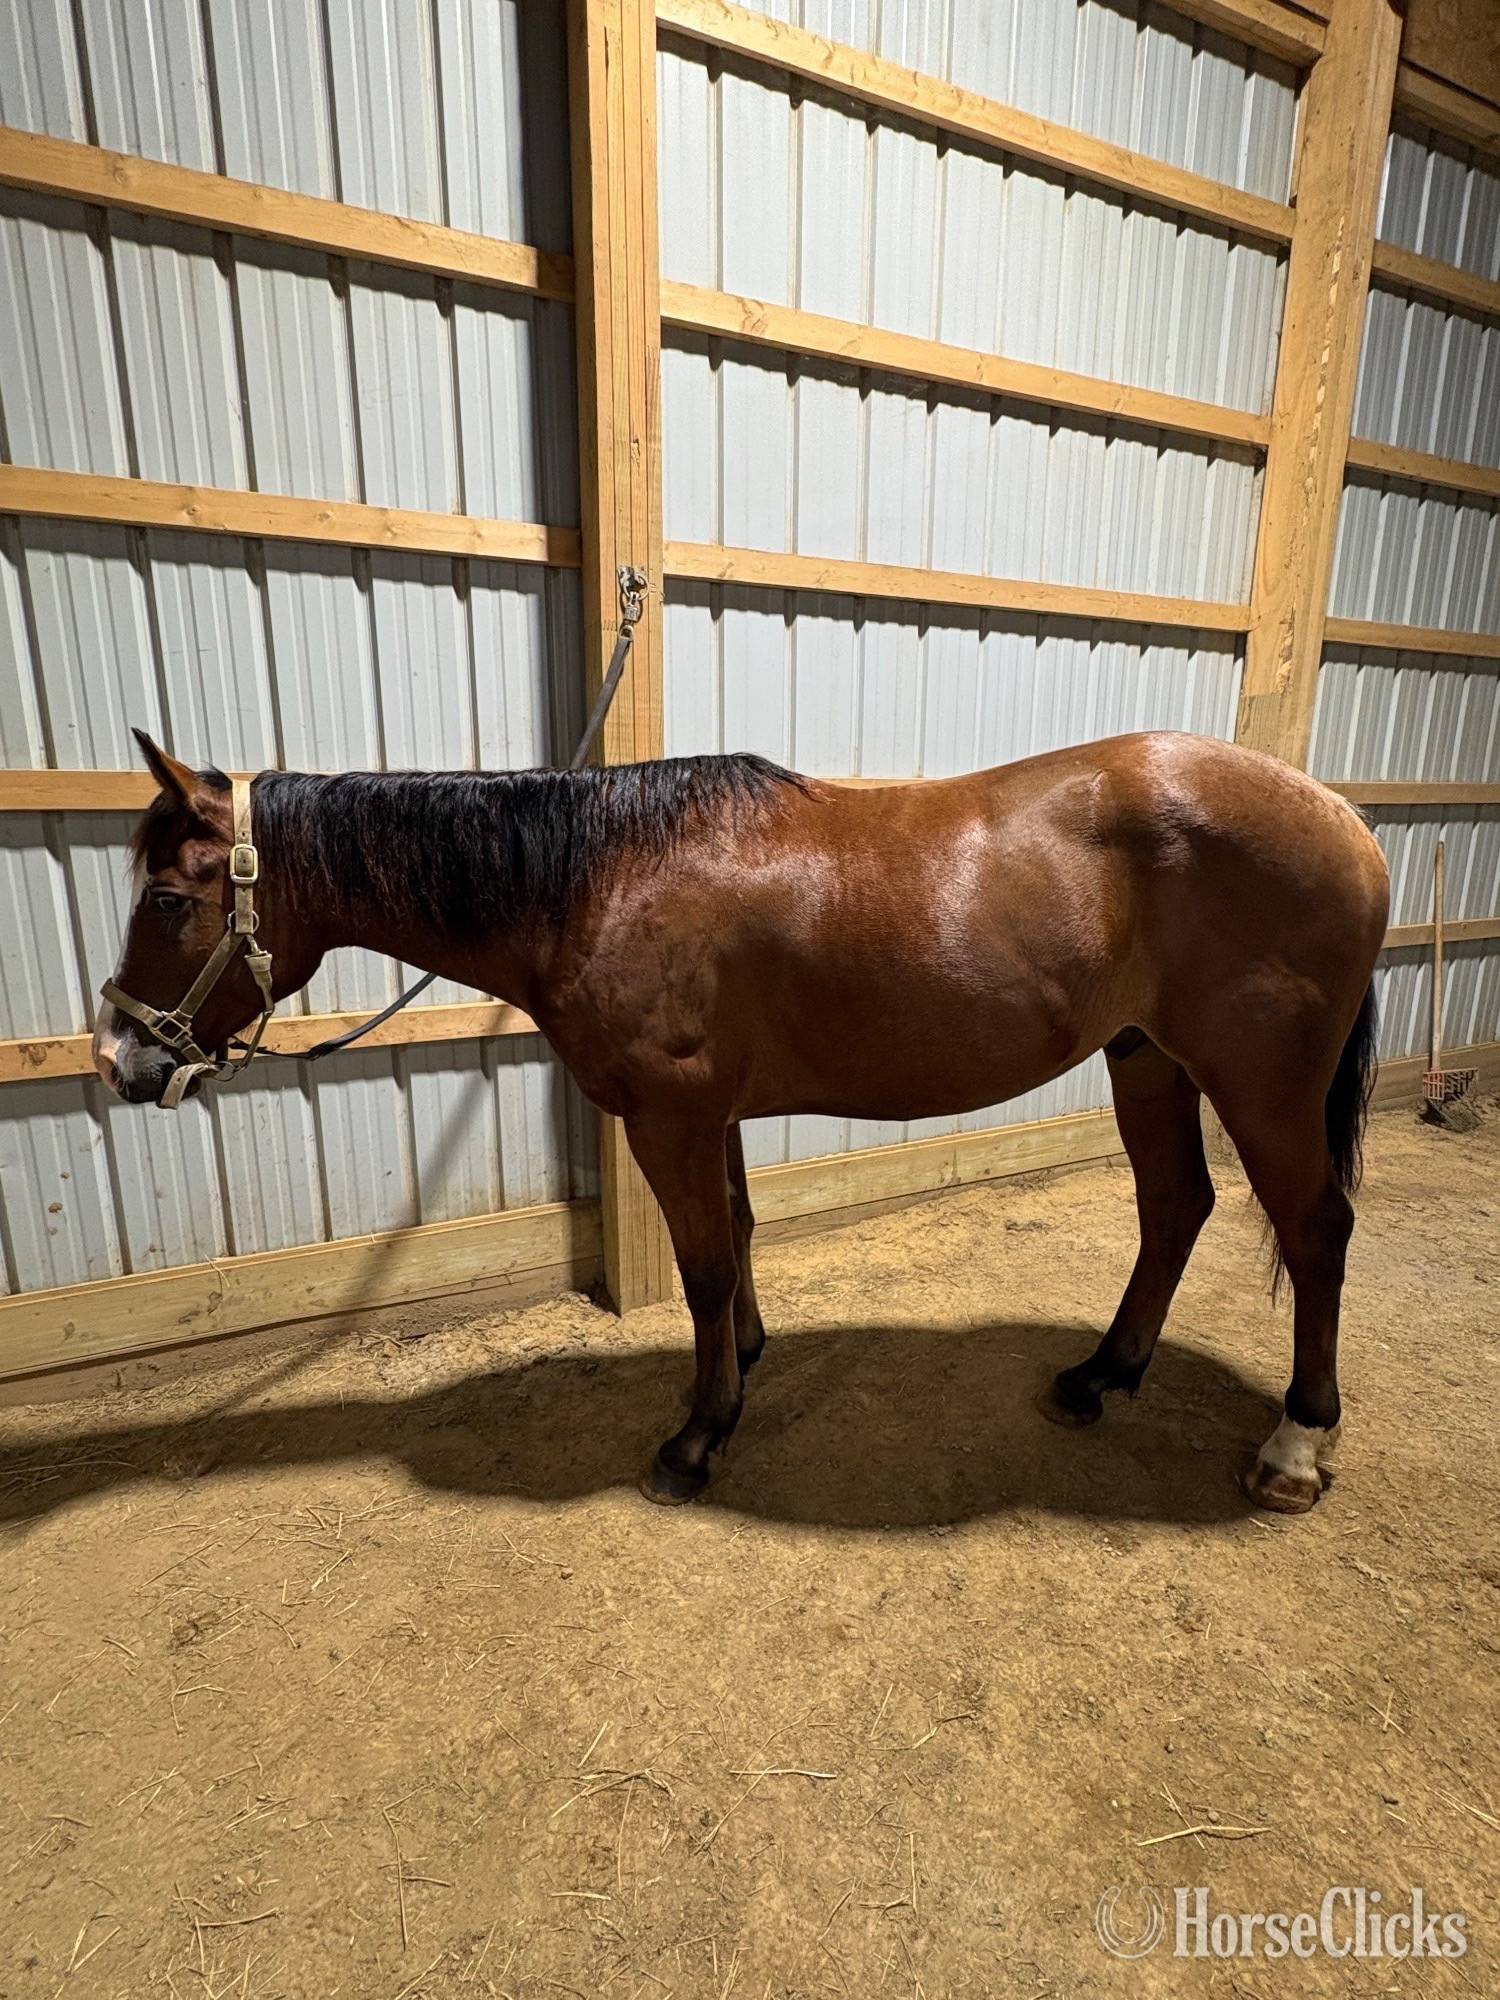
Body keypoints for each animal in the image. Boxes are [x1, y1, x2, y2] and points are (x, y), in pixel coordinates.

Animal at [94, 728, 1389, 1514]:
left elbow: (706, 1264)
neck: (599, 877)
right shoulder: (709, 1111)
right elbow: (741, 1238)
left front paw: (698, 1435)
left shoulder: (669, 1114)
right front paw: (748, 1363)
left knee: (1317, 1228)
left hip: (1259, 1083)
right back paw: (1101, 1374)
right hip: (1146, 1062)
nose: (118, 1057)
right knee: (1175, 1206)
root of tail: (1345, 819)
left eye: (166, 898)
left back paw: (1294, 1444)